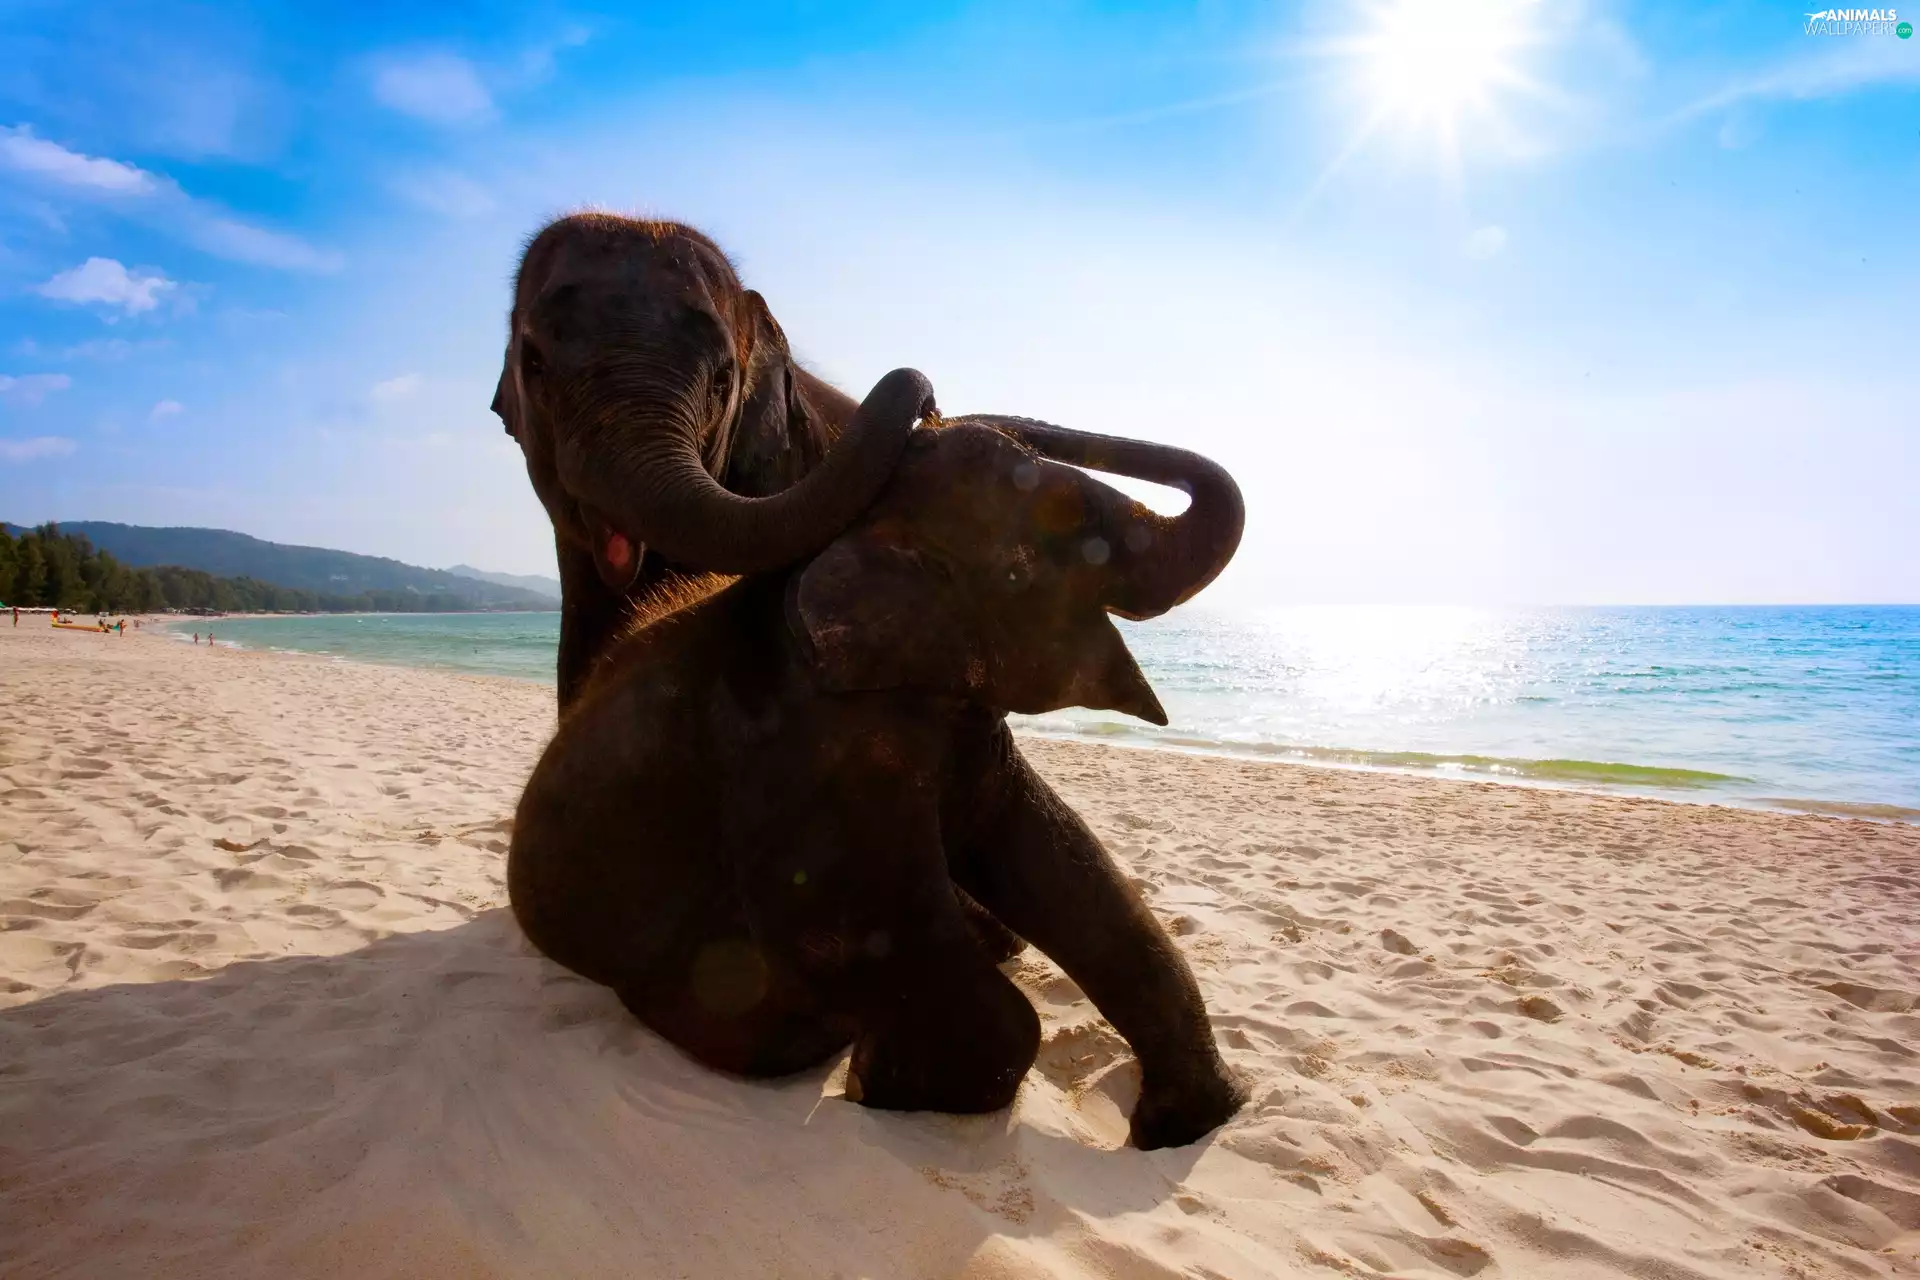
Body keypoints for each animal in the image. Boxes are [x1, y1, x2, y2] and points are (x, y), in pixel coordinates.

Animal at [509, 368, 1251, 1149]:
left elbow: (1067, 863)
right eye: (1067, 524)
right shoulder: (807, 749)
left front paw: (1188, 1124)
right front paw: (875, 1083)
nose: (930, 407)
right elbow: (842, 932)